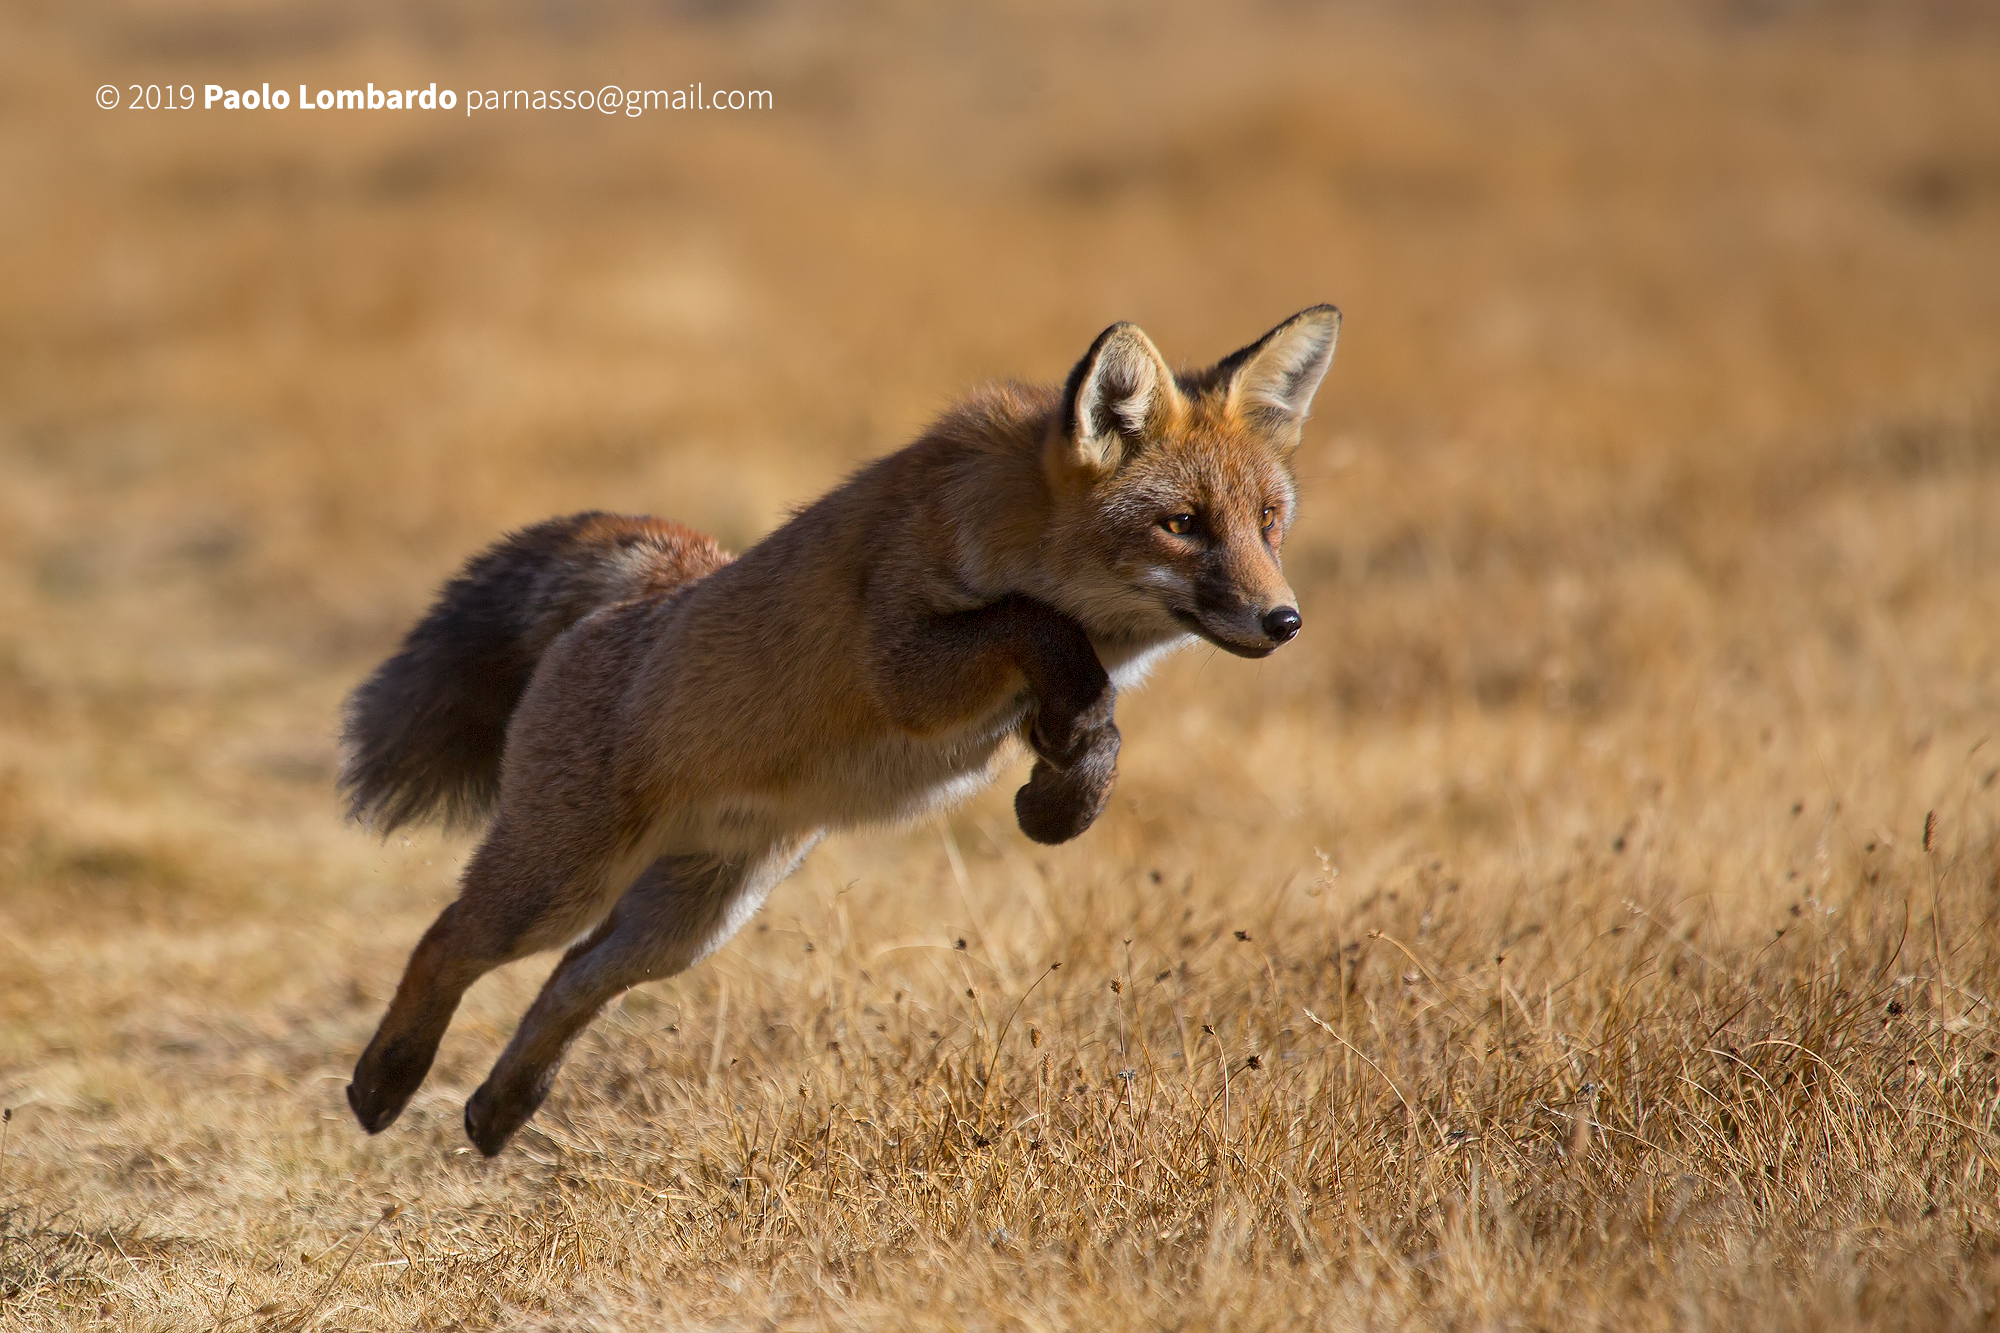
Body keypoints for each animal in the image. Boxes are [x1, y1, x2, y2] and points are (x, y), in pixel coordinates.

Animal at [341, 305, 1341, 1155]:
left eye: (1267, 522)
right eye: (1181, 524)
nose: (1285, 620)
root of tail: (654, 586)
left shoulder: (1016, 703)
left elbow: (1096, 722)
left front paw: (1066, 798)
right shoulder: (908, 667)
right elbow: (1039, 627)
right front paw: (1062, 785)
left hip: (687, 921)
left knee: (572, 979)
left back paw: (499, 1109)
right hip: (561, 880)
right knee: (448, 939)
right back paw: (385, 1083)